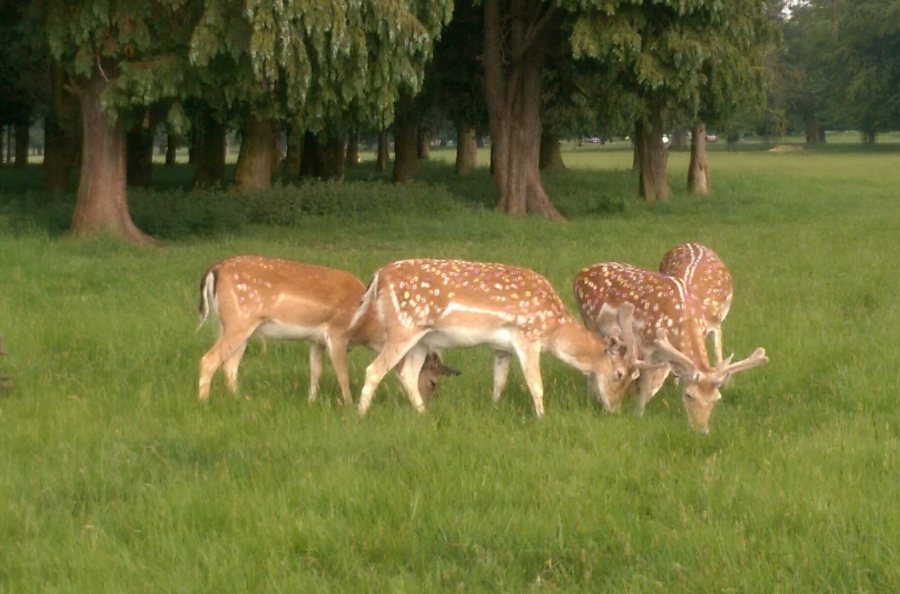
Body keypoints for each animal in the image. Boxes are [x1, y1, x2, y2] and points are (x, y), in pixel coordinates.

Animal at [196, 256, 459, 404]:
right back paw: (204, 401)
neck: (367, 325)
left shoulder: (315, 340)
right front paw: (349, 404)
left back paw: (239, 398)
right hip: (239, 321)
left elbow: (316, 371)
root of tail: (214, 269)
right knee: (209, 359)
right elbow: (342, 373)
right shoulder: (338, 332)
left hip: (233, 325)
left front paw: (311, 401)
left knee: (230, 364)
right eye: (433, 382)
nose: (429, 405)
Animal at [352, 259, 640, 417]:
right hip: (403, 326)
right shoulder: (528, 336)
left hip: (422, 338)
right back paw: (360, 416)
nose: (615, 409)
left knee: (407, 375)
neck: (554, 328)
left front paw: (494, 408)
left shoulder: (502, 348)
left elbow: (499, 383)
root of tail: (378, 277)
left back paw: (422, 414)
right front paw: (542, 418)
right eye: (620, 374)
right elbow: (536, 385)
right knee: (374, 370)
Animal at [574, 262, 767, 432]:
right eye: (688, 395)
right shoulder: (648, 346)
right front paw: (639, 414)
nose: (701, 430)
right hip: (590, 321)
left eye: (717, 399)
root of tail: (579, 274)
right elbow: (645, 384)